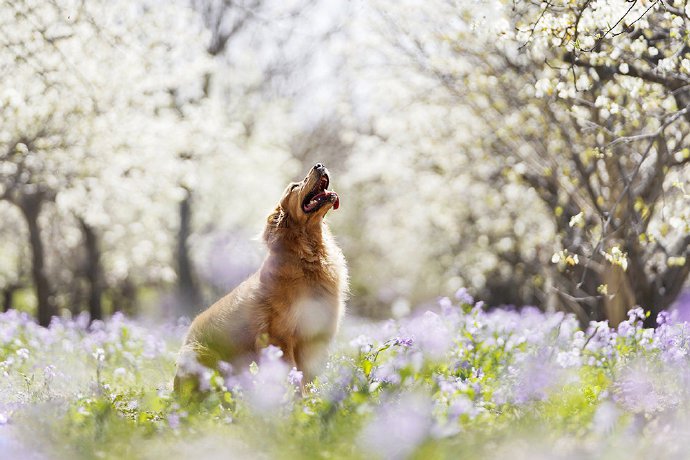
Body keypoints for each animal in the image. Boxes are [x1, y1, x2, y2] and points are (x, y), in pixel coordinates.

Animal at [175, 164, 346, 394]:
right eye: (295, 186)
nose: (319, 165)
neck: (308, 255)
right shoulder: (279, 338)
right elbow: (293, 378)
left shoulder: (313, 339)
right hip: (201, 354)